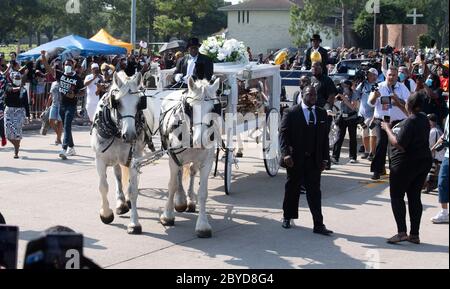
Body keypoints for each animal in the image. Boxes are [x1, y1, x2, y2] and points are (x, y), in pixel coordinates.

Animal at [91, 71, 148, 234]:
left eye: (139, 103)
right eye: (117, 103)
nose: (130, 135)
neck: (116, 132)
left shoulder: (134, 158)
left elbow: (133, 189)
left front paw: (134, 223)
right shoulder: (99, 159)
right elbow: (103, 186)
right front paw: (106, 214)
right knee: (117, 175)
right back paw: (121, 203)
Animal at [158, 76, 221, 236]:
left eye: (213, 108)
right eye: (190, 108)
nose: (201, 140)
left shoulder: (207, 162)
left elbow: (203, 192)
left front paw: (203, 225)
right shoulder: (173, 159)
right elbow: (172, 185)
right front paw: (167, 216)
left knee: (192, 171)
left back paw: (190, 200)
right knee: (180, 173)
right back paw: (181, 200)